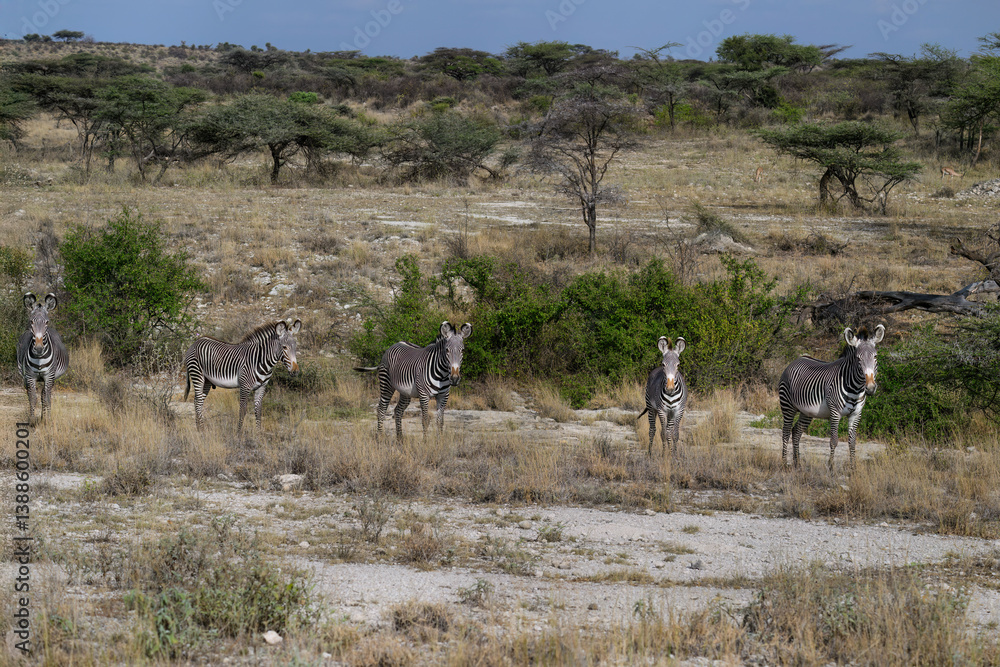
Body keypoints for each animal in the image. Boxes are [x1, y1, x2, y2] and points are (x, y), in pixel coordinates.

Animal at [17, 293, 69, 425]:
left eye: (47, 322)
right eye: (31, 321)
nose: (39, 349)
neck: (40, 358)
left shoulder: (49, 376)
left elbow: (46, 398)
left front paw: (47, 420)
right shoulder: (30, 376)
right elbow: (32, 397)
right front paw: (32, 420)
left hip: (52, 377)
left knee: (44, 394)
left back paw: (43, 417)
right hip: (25, 376)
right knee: (32, 394)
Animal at [778, 324, 885, 471]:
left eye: (875, 357)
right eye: (858, 359)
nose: (870, 388)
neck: (855, 388)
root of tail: (797, 360)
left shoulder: (856, 414)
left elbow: (852, 442)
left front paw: (853, 468)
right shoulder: (835, 413)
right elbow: (834, 441)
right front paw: (831, 467)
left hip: (807, 412)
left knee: (796, 432)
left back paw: (797, 464)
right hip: (788, 406)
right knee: (786, 432)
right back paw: (784, 463)